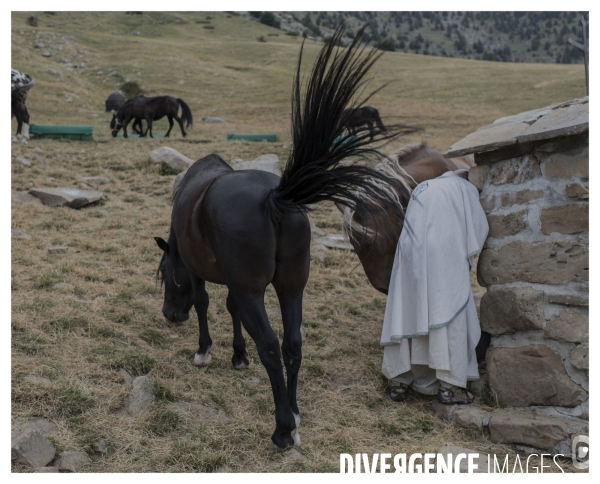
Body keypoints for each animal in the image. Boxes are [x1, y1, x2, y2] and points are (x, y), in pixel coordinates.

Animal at [154, 25, 418, 450]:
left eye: (164, 274)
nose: (168, 315)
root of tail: (275, 197)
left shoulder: (205, 275)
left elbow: (206, 302)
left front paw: (205, 351)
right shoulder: (241, 285)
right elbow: (231, 308)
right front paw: (238, 355)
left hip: (263, 292)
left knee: (271, 346)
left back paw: (281, 428)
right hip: (292, 287)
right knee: (293, 344)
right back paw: (293, 413)